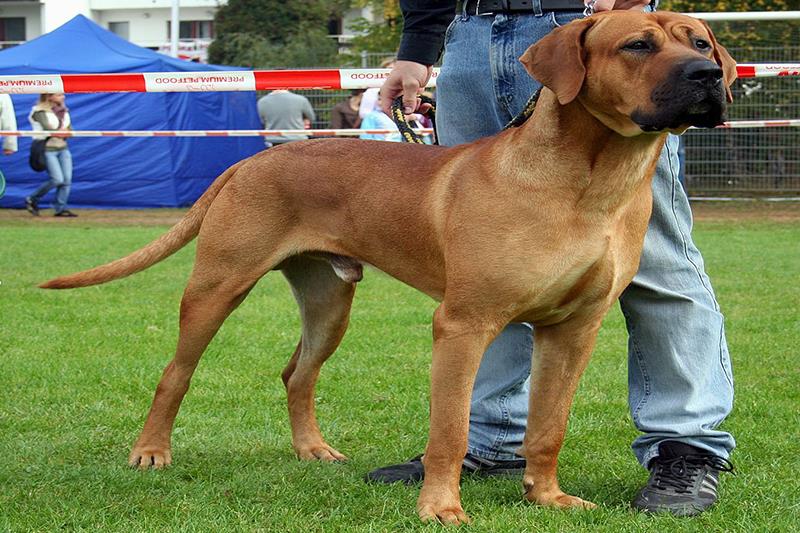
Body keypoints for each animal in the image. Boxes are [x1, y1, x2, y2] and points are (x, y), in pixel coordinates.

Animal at [40, 11, 736, 524]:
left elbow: (548, 426)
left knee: (296, 374)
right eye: (638, 45)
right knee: (174, 375)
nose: (708, 74)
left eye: (701, 41)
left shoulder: (574, 332)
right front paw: (441, 508)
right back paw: (151, 452)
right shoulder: (463, 324)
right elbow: (450, 428)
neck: (593, 181)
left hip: (329, 302)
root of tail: (250, 160)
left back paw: (311, 449)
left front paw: (547, 497)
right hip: (217, 286)